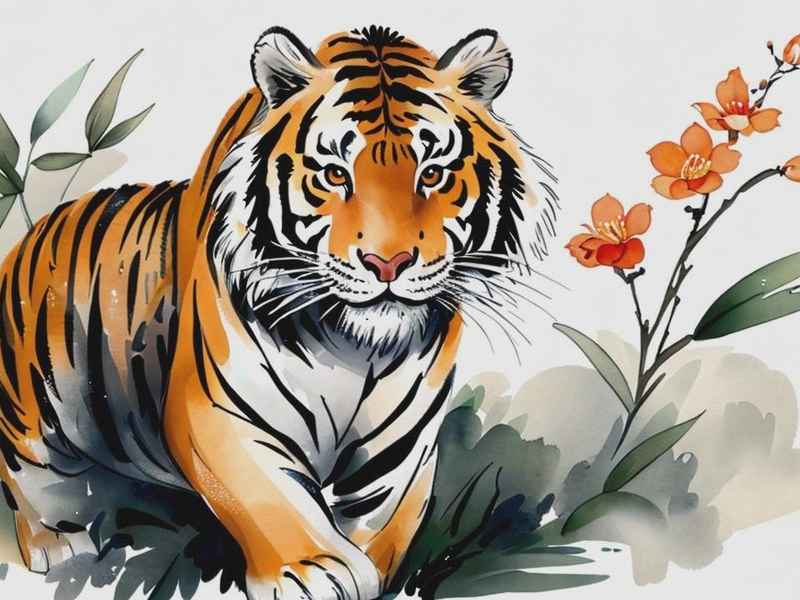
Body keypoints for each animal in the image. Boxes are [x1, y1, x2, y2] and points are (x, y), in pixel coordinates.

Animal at [0, 25, 557, 600]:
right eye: (334, 174)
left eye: (432, 173)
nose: (388, 263)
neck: (355, 349)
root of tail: (35, 229)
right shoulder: (219, 413)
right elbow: (272, 500)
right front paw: (315, 570)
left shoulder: (402, 448)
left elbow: (384, 523)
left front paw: (368, 573)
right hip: (30, 414)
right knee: (27, 476)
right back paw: (58, 545)